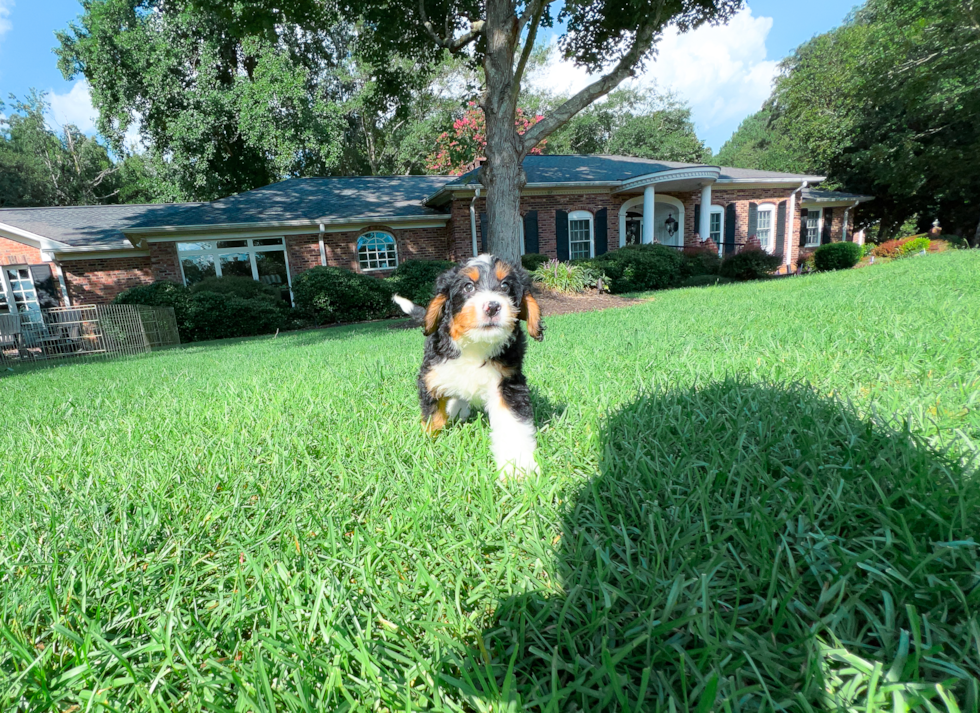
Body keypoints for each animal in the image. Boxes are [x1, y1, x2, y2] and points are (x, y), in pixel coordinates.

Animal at [390, 253, 544, 476]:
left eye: (505, 285)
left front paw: (518, 467)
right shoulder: (431, 376)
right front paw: (430, 446)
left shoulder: (508, 382)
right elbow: (434, 417)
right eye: (468, 287)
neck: (475, 344)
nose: (492, 306)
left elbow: (512, 424)